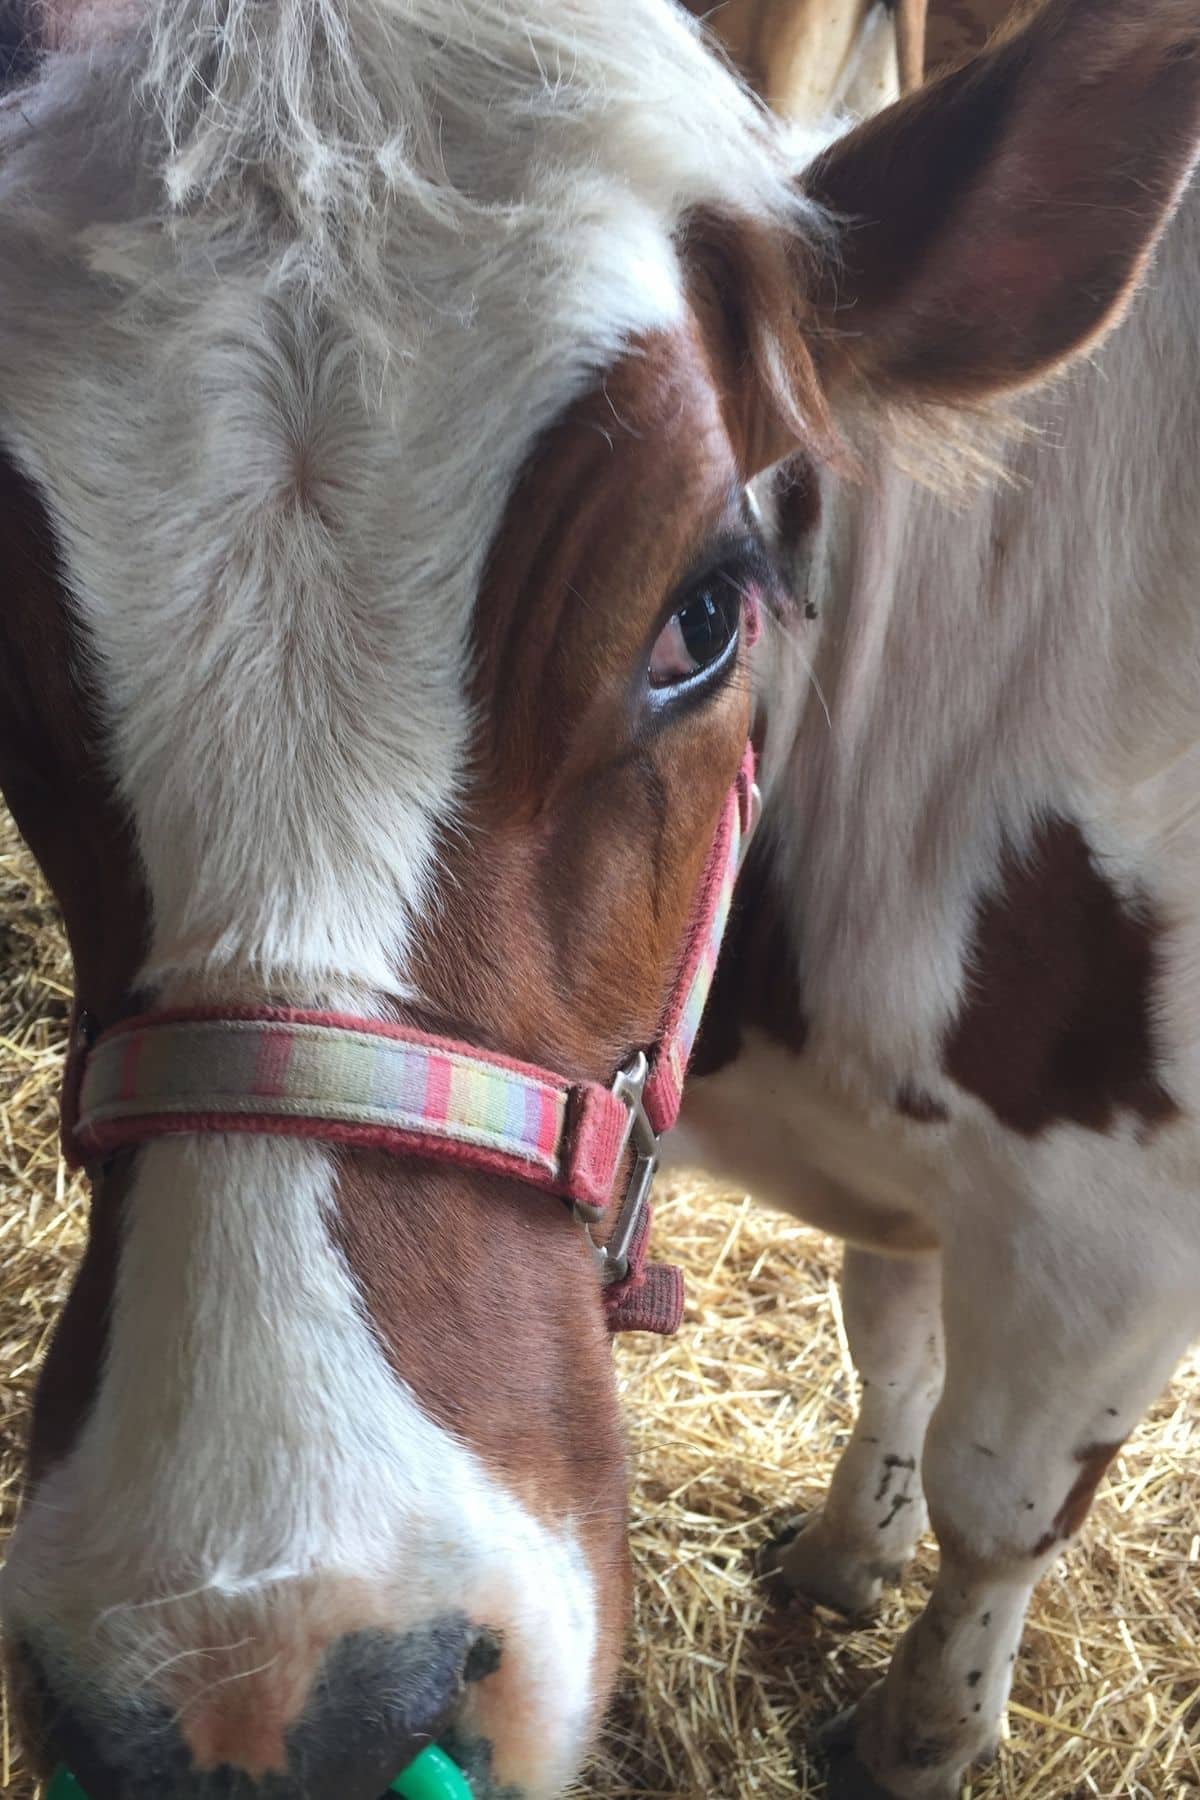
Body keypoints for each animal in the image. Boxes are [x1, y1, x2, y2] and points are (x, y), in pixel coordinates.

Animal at [0, 3, 1194, 1800]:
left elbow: (998, 1496)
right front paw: (851, 1547)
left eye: (702, 614)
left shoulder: (1110, 1232)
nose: (262, 1688)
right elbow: (893, 1334)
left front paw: (920, 1730)